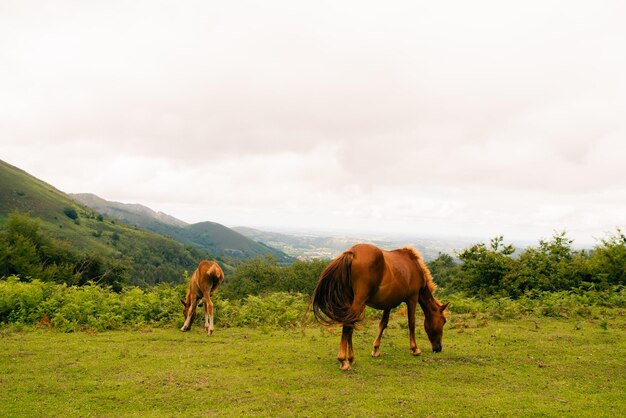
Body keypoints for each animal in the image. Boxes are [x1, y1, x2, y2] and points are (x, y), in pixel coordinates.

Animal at [310, 243, 446, 370]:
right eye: (443, 321)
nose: (438, 348)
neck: (414, 266)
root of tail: (352, 252)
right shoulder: (412, 298)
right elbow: (411, 323)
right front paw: (415, 349)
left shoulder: (388, 303)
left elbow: (383, 324)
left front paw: (375, 349)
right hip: (359, 301)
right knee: (348, 325)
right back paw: (344, 360)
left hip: (352, 300)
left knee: (350, 326)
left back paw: (351, 358)